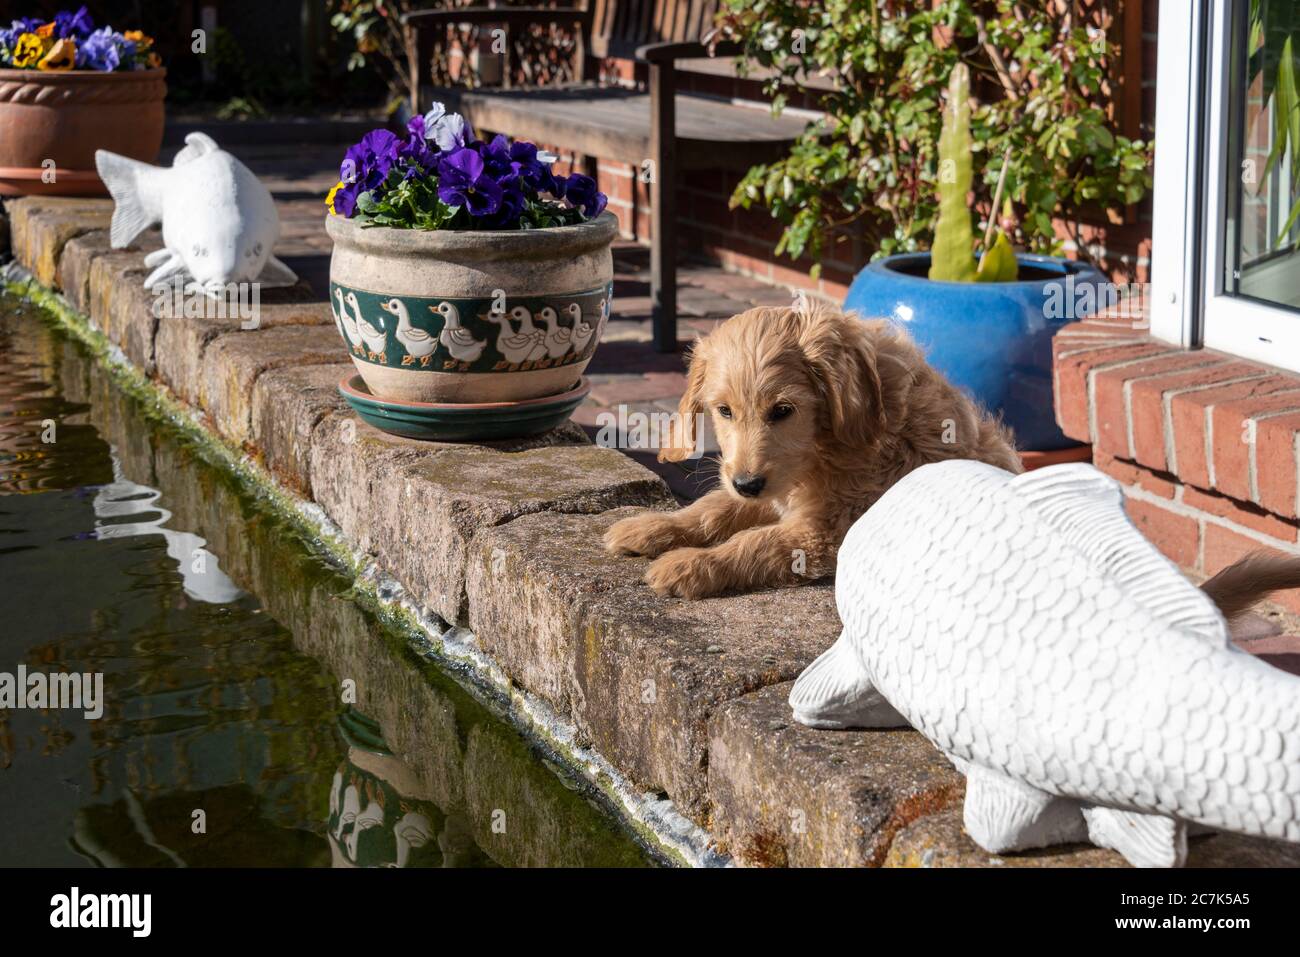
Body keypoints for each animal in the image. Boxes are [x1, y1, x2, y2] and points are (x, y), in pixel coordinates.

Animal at [603, 300, 1019, 598]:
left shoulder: (825, 531)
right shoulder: (770, 491)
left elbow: (756, 542)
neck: (824, 445)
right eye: (724, 411)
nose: (747, 484)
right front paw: (653, 526)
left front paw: (692, 565)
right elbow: (712, 508)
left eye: (783, 411)